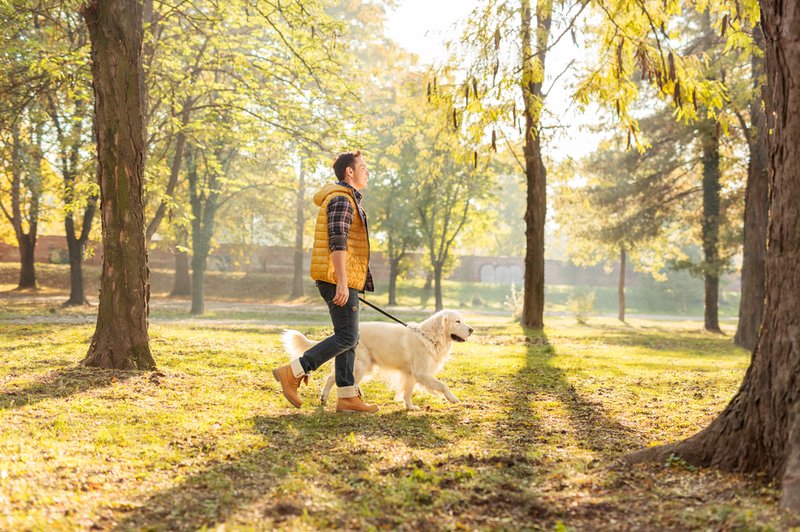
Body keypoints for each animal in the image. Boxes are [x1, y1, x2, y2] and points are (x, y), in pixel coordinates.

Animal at [282, 310, 472, 410]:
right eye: (457, 321)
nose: (471, 329)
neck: (429, 336)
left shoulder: (410, 374)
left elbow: (408, 392)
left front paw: (410, 407)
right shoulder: (421, 373)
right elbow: (442, 385)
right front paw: (452, 398)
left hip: (364, 366)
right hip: (361, 365)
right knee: (333, 378)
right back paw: (326, 398)